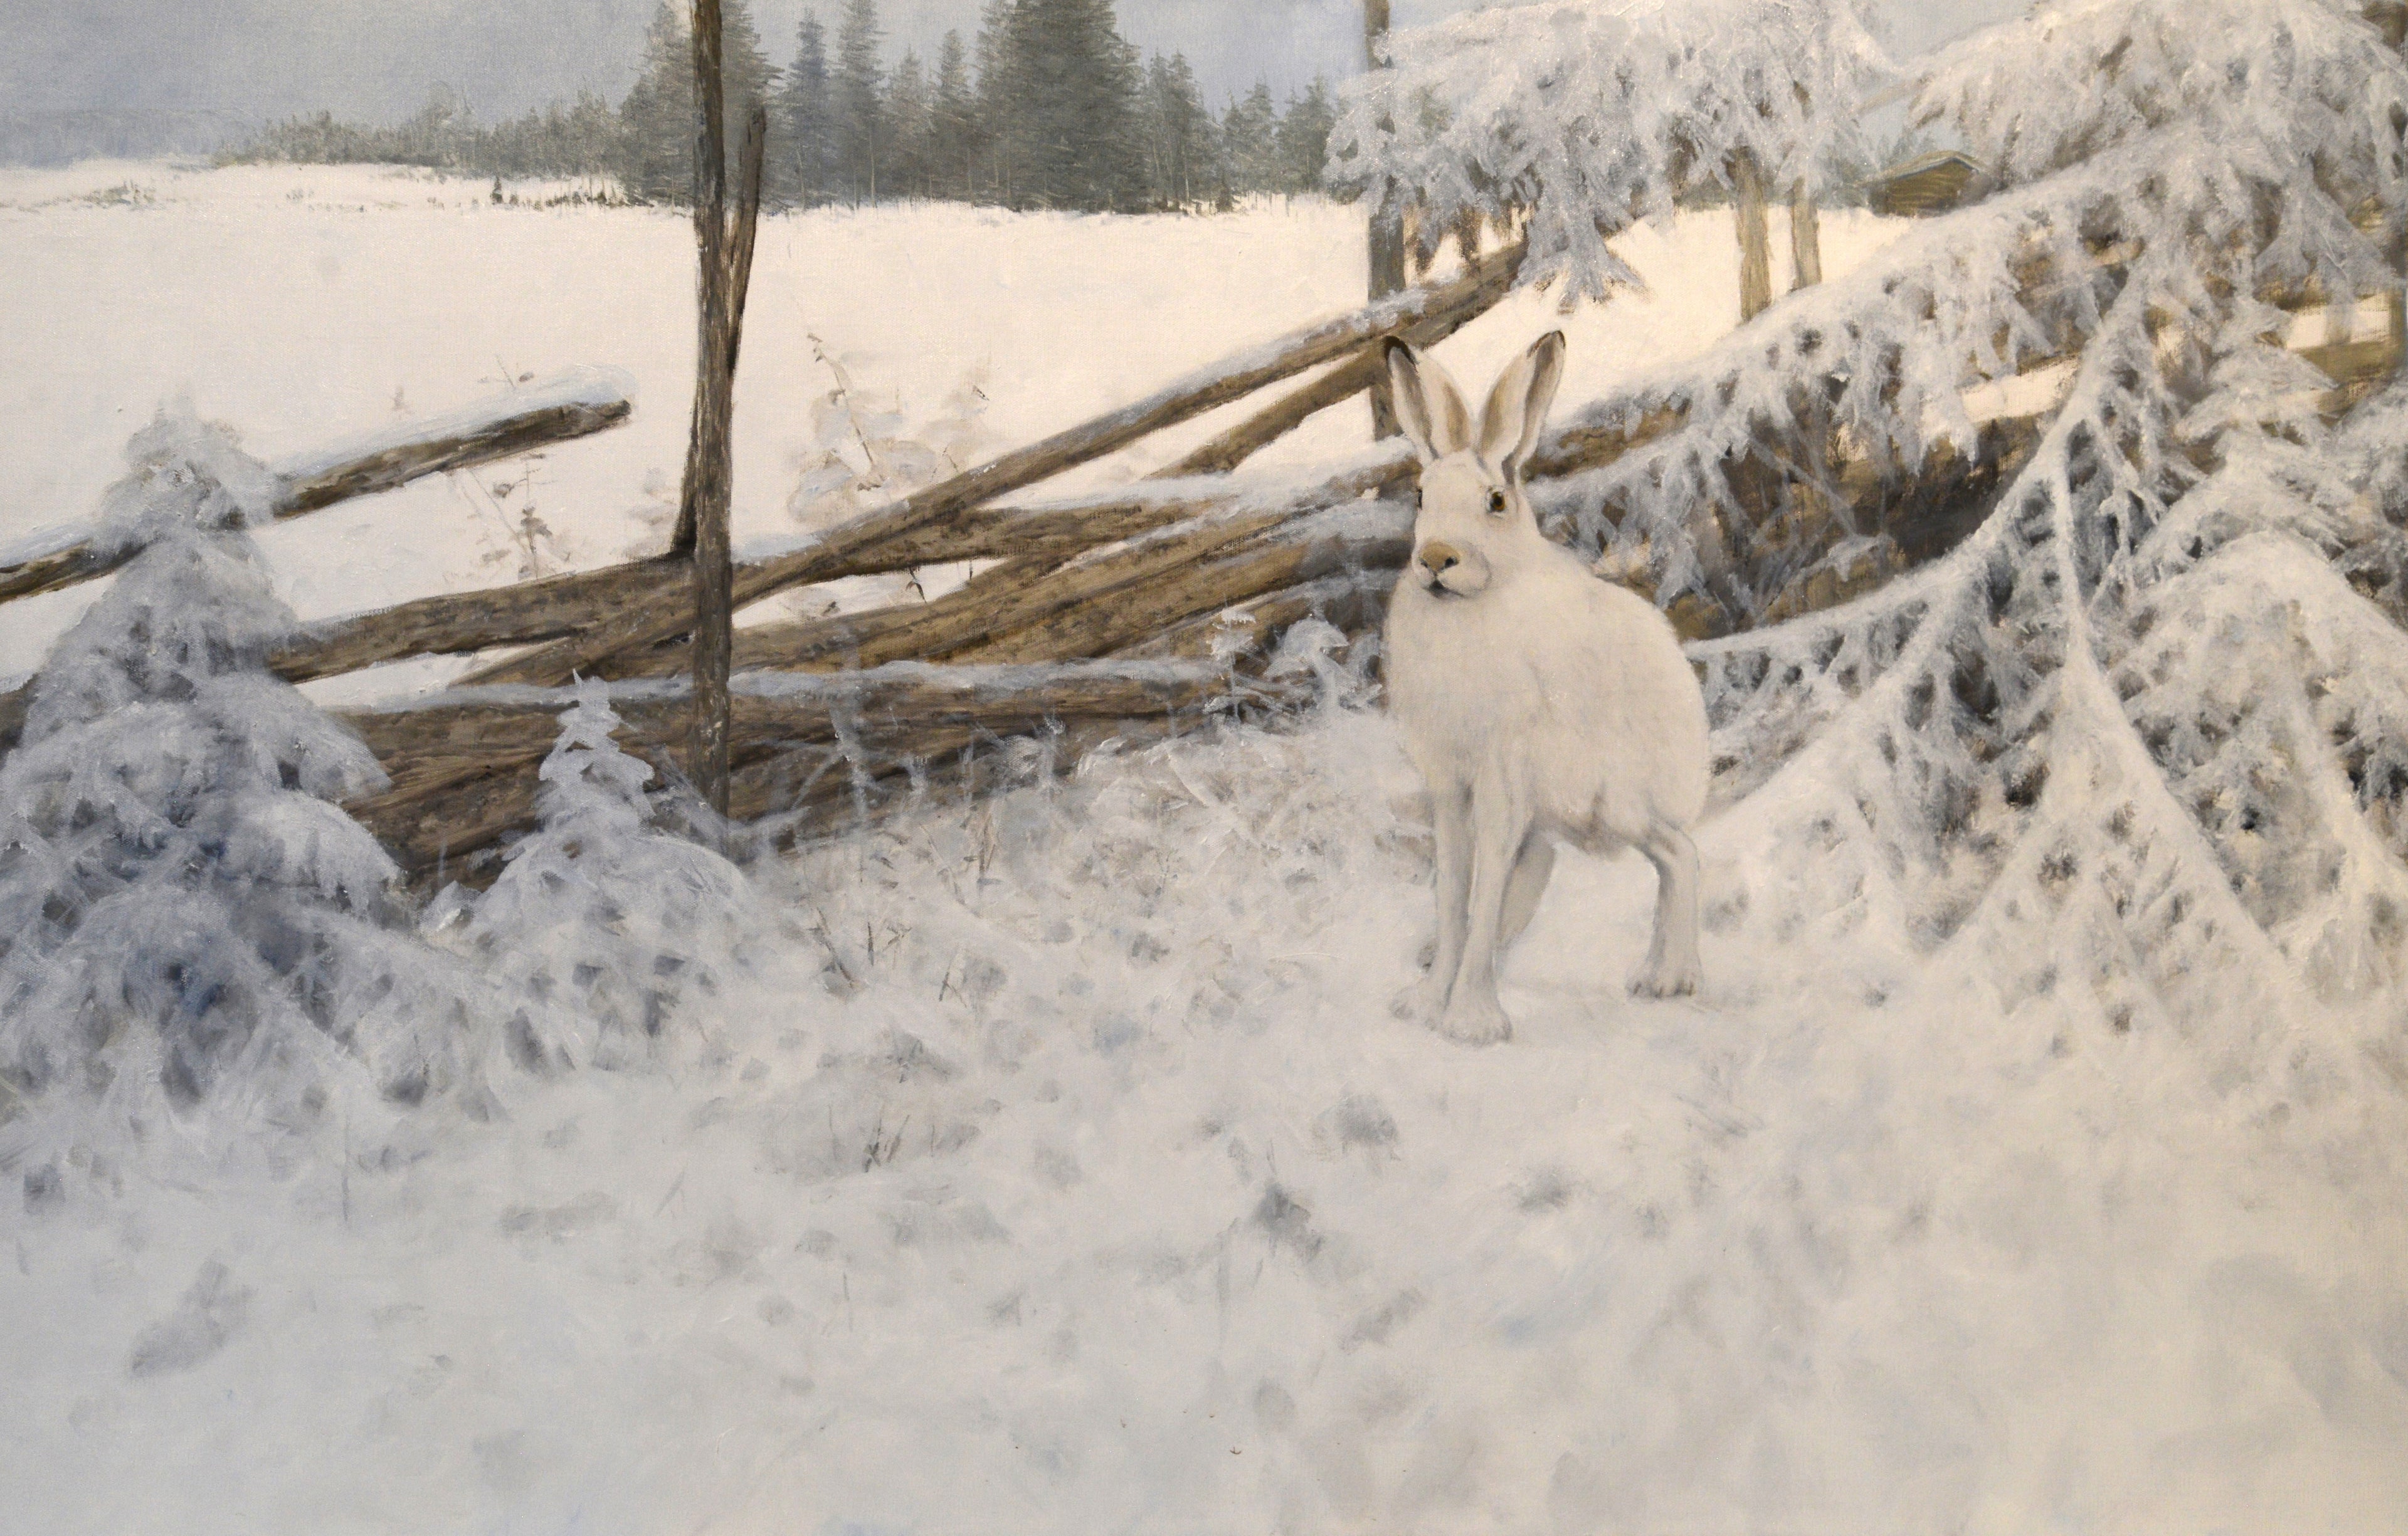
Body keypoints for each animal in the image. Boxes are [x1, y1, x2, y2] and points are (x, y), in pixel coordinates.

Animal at [1380, 331, 1710, 1044]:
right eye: (1419, 495)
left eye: (1495, 501)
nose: (1436, 558)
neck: (1479, 597)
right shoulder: (1449, 783)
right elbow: (1453, 889)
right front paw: (1423, 1003)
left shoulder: (1504, 773)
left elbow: (1480, 887)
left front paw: (1471, 1023)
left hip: (1618, 803)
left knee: (1681, 854)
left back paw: (1667, 979)